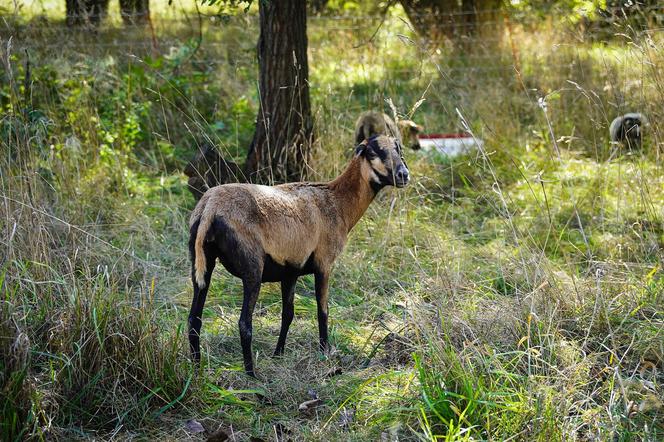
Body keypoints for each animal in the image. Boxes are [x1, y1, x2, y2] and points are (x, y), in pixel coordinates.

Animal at [188, 135, 410, 376]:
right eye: (373, 152)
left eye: (398, 149)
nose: (403, 174)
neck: (338, 202)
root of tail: (210, 208)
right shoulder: (324, 263)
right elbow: (323, 310)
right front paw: (325, 352)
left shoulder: (290, 271)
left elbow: (288, 314)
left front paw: (278, 354)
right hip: (252, 266)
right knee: (244, 323)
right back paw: (252, 375)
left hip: (201, 262)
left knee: (193, 319)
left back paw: (197, 370)